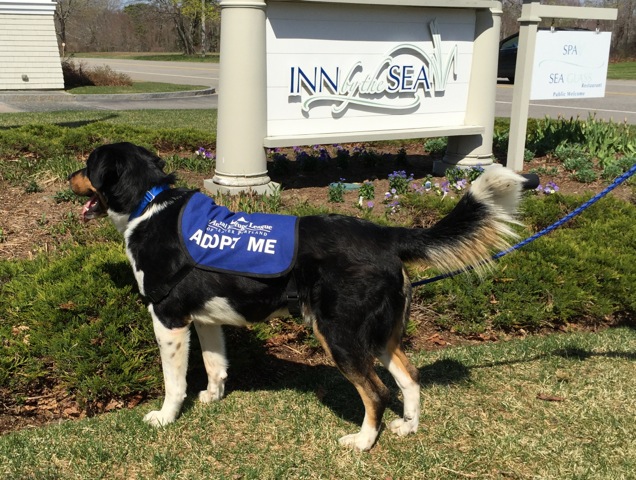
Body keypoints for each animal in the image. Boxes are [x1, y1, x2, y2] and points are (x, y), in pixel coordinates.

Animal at [68, 142, 528, 450]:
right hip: (379, 334)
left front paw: (166, 416)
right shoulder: (206, 318)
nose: (67, 178)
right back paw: (408, 426)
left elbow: (174, 382)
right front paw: (212, 399)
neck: (148, 205)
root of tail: (387, 235)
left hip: (338, 334)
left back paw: (362, 442)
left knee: (377, 392)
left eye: (88, 165)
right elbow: (216, 367)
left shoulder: (169, 318)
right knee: (409, 377)